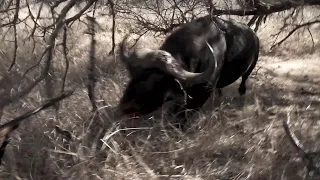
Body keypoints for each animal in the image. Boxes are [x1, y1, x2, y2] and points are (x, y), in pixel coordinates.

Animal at [117, 14, 260, 126]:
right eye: (133, 76)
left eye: (155, 81)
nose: (124, 108)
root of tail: (254, 36)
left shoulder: (201, 94)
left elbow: (184, 115)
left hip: (249, 69)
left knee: (243, 82)